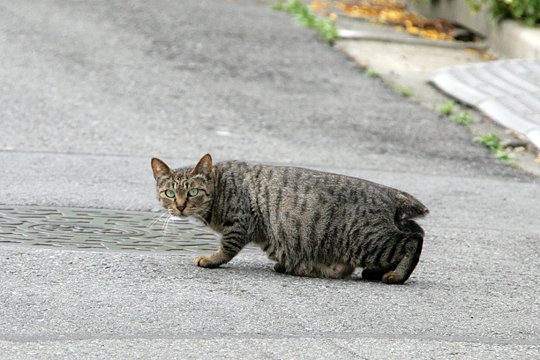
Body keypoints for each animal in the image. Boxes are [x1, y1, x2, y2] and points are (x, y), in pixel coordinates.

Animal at [150, 153, 428, 282]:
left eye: (193, 192)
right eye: (170, 193)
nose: (180, 207)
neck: (221, 187)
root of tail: (391, 192)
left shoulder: (238, 224)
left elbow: (226, 249)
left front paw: (211, 259)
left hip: (368, 242)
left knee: (414, 239)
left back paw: (397, 275)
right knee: (414, 230)